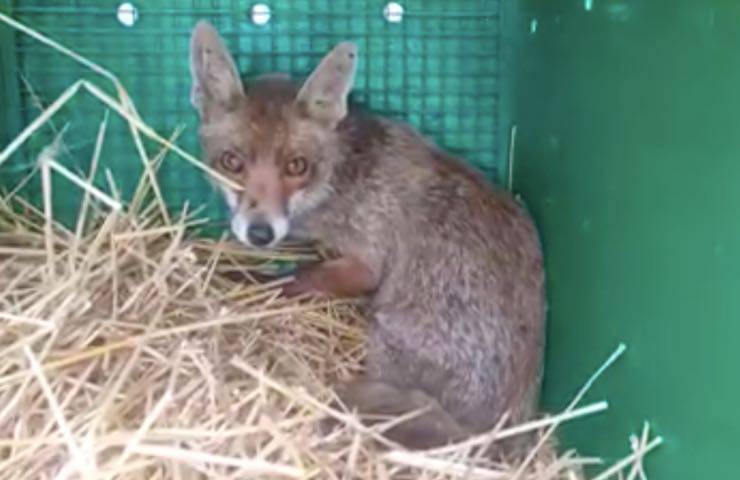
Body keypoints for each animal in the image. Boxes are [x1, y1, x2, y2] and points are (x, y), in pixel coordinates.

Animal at [189, 20, 546, 451]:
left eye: (296, 166)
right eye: (232, 162)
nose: (260, 233)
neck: (342, 179)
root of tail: (496, 431)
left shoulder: (366, 262)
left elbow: (290, 280)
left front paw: (234, 278)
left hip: (384, 330)